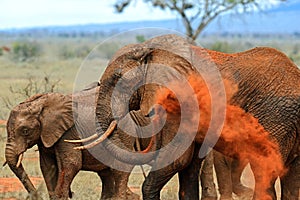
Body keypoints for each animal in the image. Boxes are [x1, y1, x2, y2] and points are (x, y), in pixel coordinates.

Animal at [4, 85, 139, 200]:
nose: (72, 193)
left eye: (25, 131)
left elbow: (71, 164)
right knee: (106, 173)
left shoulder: (68, 132)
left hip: (123, 131)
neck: (42, 104)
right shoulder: (44, 137)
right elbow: (47, 166)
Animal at [71, 33, 300, 199]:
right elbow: (189, 165)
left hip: (274, 119)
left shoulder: (177, 104)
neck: (150, 49)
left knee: (265, 174)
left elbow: (176, 160)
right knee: (292, 180)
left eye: (119, 79)